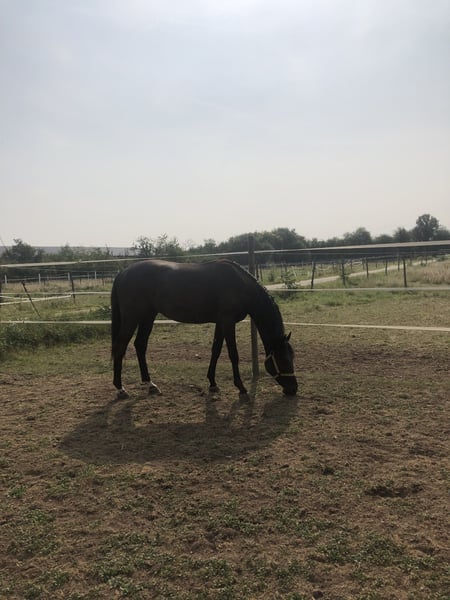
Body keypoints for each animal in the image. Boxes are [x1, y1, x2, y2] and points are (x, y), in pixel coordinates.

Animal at [110, 259, 298, 399]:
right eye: (283, 360)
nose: (293, 389)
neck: (240, 285)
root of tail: (123, 273)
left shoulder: (221, 322)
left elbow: (216, 350)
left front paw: (213, 384)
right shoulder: (228, 321)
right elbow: (233, 354)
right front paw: (241, 388)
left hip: (148, 317)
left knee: (140, 345)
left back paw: (150, 384)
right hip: (132, 318)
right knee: (120, 347)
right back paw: (120, 389)